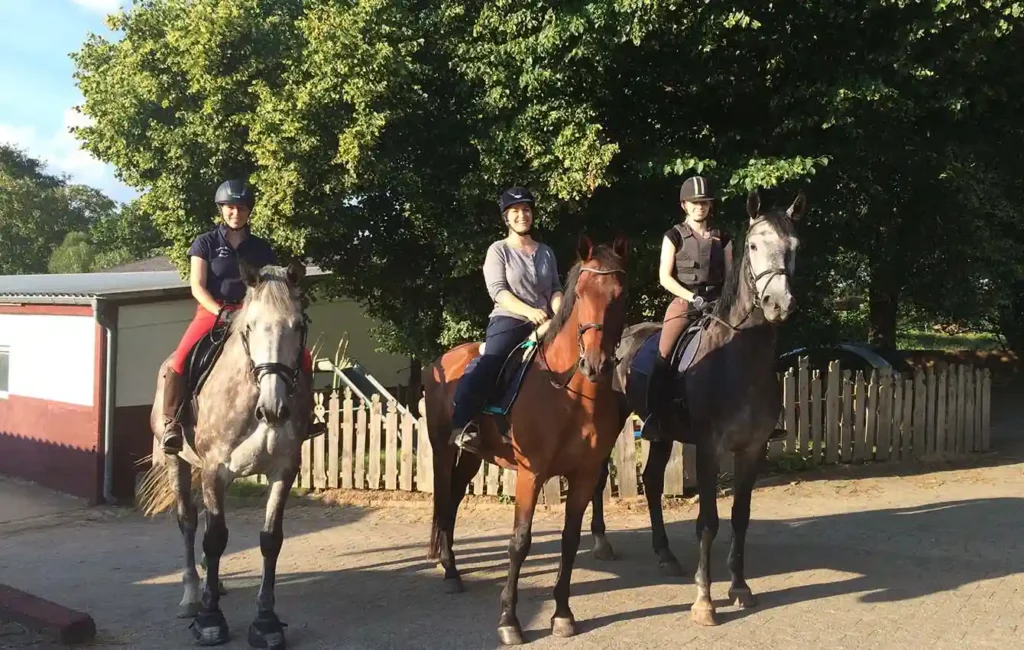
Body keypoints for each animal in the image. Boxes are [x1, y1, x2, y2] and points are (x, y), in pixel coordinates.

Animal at [136, 260, 312, 649]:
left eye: (298, 325)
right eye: (250, 327)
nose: (274, 409)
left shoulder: (283, 470)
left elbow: (270, 539)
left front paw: (266, 622)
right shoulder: (215, 469)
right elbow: (215, 537)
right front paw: (209, 620)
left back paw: (212, 584)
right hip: (177, 463)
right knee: (188, 522)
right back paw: (191, 596)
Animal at [423, 235, 629, 645]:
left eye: (620, 294)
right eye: (581, 293)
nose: (595, 365)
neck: (569, 394)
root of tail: (437, 363)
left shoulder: (583, 476)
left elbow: (569, 540)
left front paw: (562, 614)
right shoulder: (530, 476)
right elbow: (519, 543)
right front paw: (509, 621)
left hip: (471, 459)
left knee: (451, 503)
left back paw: (451, 569)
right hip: (442, 451)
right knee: (443, 502)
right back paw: (451, 573)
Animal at [589, 189, 807, 626]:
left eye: (794, 247)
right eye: (754, 245)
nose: (779, 304)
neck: (739, 359)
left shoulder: (752, 450)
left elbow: (740, 517)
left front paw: (740, 586)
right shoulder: (709, 448)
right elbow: (708, 522)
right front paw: (704, 600)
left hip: (661, 434)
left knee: (653, 481)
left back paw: (665, 554)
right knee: (599, 479)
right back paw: (603, 543)